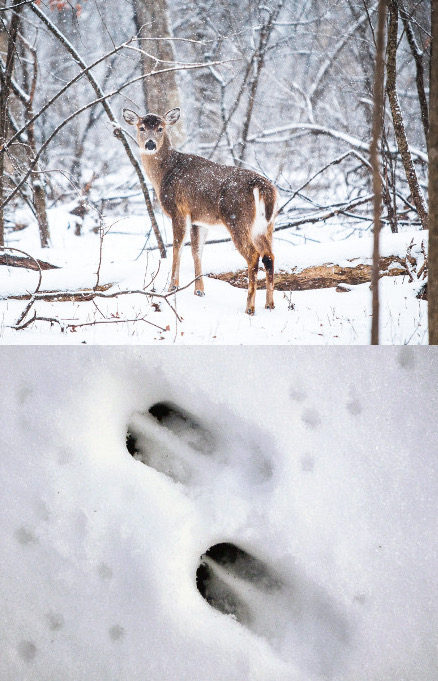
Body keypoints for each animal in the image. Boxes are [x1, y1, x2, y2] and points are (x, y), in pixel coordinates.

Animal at [121, 107, 278, 314]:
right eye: (141, 127)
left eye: (161, 128)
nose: (150, 144)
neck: (164, 174)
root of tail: (263, 187)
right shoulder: (199, 219)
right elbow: (197, 251)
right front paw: (199, 290)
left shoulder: (178, 210)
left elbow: (177, 248)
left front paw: (173, 286)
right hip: (266, 225)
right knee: (269, 256)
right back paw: (270, 304)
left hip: (237, 219)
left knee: (253, 256)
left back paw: (249, 307)